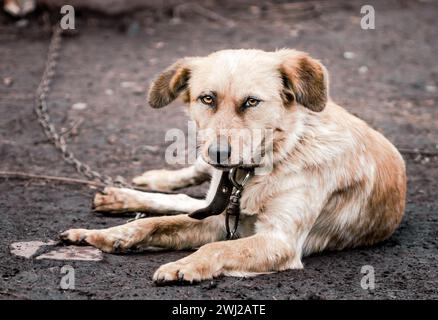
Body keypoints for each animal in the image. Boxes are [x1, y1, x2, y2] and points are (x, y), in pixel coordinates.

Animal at [60, 48, 406, 284]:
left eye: (251, 102)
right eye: (207, 99)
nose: (219, 153)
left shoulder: (276, 239)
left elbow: (214, 248)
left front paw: (182, 265)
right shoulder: (220, 218)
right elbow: (156, 224)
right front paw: (106, 234)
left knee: (188, 201)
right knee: (187, 191)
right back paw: (135, 190)